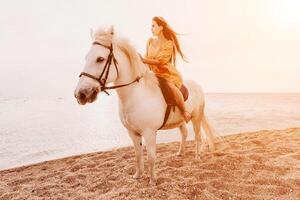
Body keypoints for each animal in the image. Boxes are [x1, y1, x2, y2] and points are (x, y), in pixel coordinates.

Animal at [74, 26, 221, 184]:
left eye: (100, 59)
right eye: (86, 58)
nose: (80, 94)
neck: (135, 95)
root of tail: (197, 85)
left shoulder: (149, 132)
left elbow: (151, 157)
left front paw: (152, 181)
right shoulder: (132, 132)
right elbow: (138, 155)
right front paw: (138, 175)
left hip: (196, 118)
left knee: (198, 136)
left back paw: (197, 157)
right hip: (181, 120)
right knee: (184, 134)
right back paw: (180, 153)